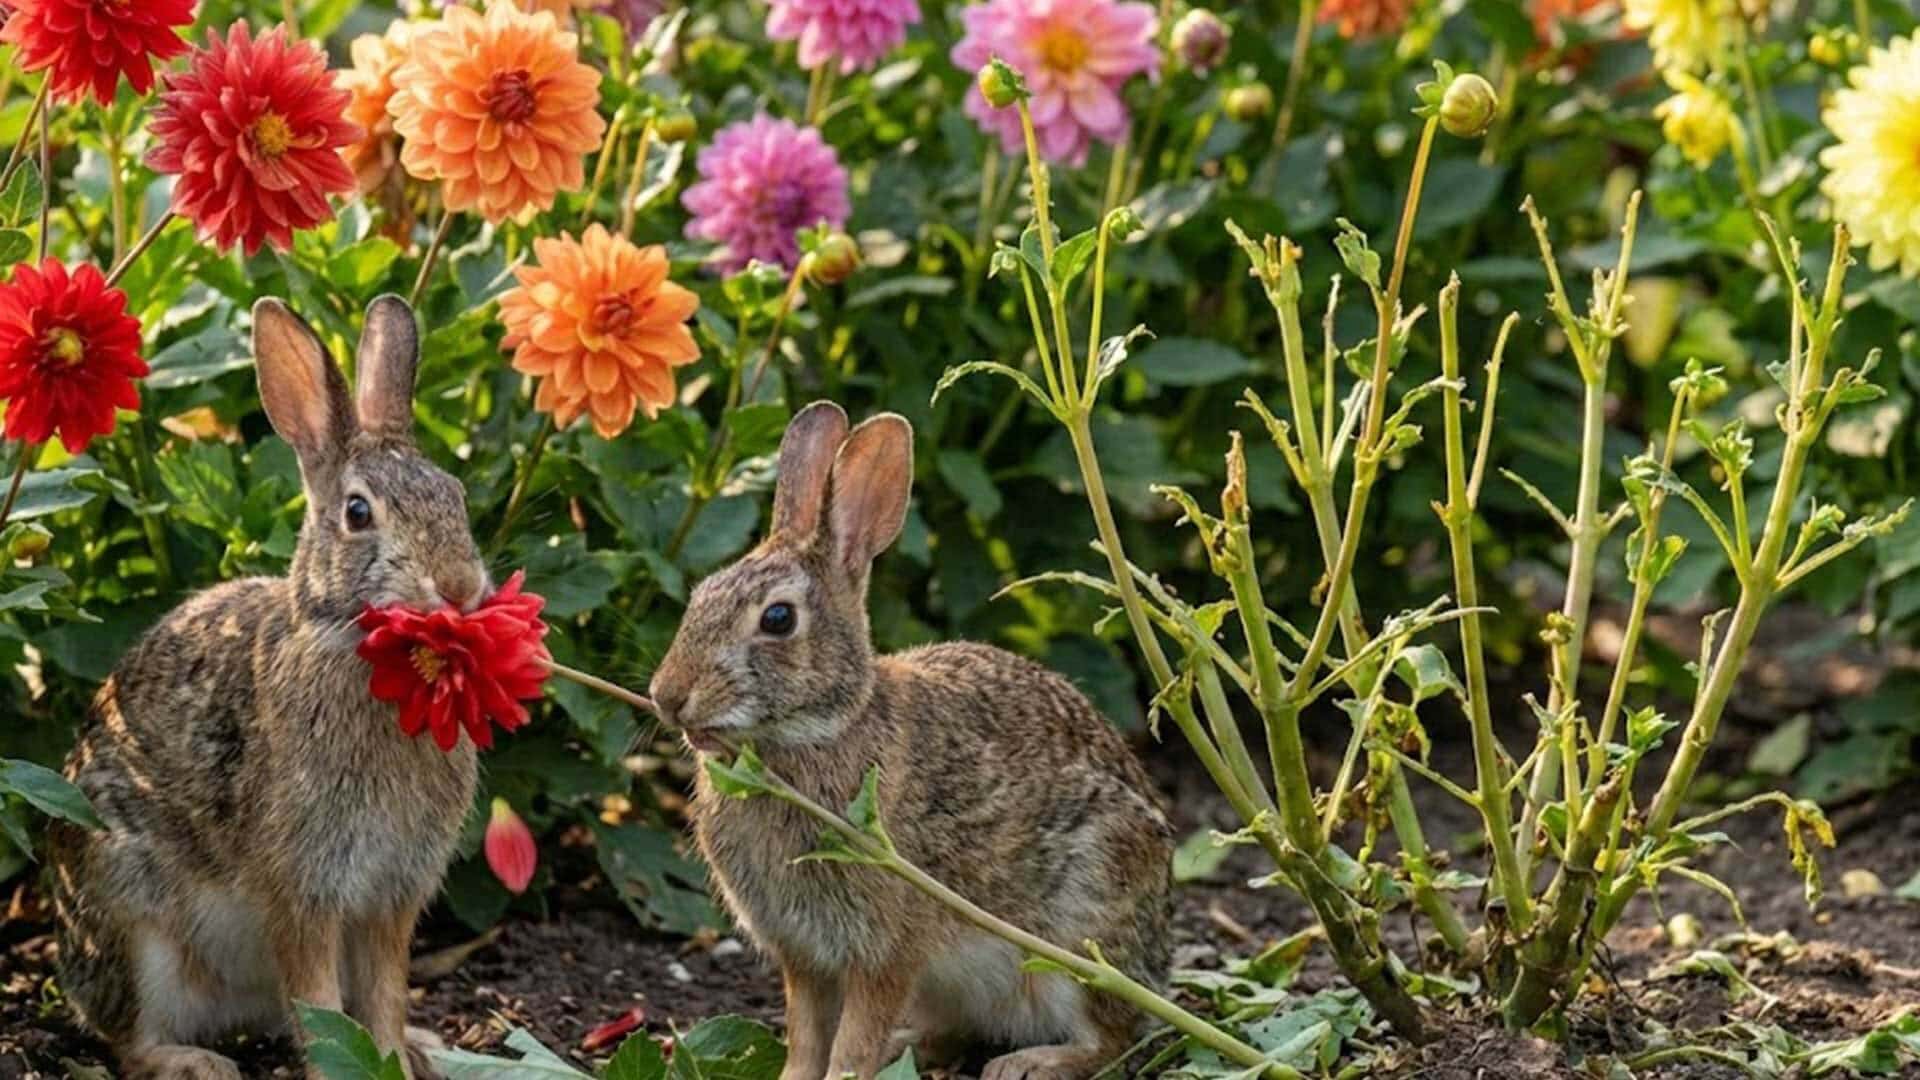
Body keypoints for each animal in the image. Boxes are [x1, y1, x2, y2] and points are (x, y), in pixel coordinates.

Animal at [46, 296, 487, 1080]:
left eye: (456, 495)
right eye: (358, 513)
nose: (460, 587)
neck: (360, 651)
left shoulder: (389, 895)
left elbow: (382, 991)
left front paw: (392, 1054)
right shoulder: (304, 886)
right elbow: (317, 997)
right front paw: (346, 1067)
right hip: (132, 920)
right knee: (128, 1038)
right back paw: (195, 1063)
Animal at [649, 401, 1175, 1080]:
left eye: (778, 619)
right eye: (700, 595)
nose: (667, 695)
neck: (815, 734)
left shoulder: (885, 951)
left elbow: (852, 1039)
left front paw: (844, 1075)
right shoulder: (805, 955)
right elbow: (806, 1034)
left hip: (1081, 932)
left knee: (1110, 1035)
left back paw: (1028, 1063)